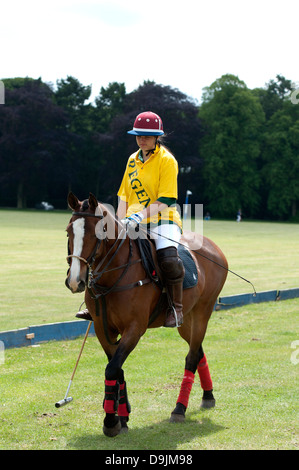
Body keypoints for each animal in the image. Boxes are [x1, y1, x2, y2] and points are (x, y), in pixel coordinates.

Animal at [65, 192, 229, 436]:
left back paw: (179, 409)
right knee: (198, 349)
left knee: (191, 356)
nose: (75, 281)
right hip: (185, 320)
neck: (112, 278)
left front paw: (111, 422)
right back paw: (208, 396)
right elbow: (117, 368)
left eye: (98, 232)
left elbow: (112, 368)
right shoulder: (102, 328)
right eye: (68, 231)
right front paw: (122, 417)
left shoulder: (135, 327)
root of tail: (215, 247)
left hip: (203, 311)